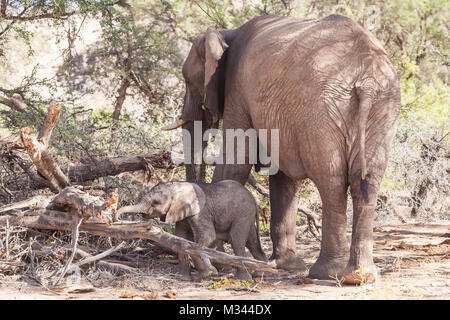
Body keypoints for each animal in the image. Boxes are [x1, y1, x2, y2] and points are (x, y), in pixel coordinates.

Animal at [116, 180, 268, 280]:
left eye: (156, 203)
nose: (117, 218)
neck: (177, 186)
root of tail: (253, 198)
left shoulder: (200, 212)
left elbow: (207, 236)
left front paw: (208, 273)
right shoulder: (180, 214)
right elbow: (180, 238)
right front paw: (185, 278)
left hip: (243, 213)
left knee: (237, 241)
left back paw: (243, 279)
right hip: (247, 215)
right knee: (253, 242)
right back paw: (260, 273)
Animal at [165, 15, 400, 280]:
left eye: (188, 81)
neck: (228, 33)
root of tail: (367, 78)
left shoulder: (238, 90)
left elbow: (237, 161)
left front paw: (222, 263)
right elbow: (283, 177)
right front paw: (288, 266)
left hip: (320, 111)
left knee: (331, 179)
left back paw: (326, 273)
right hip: (383, 106)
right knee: (368, 179)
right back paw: (360, 275)